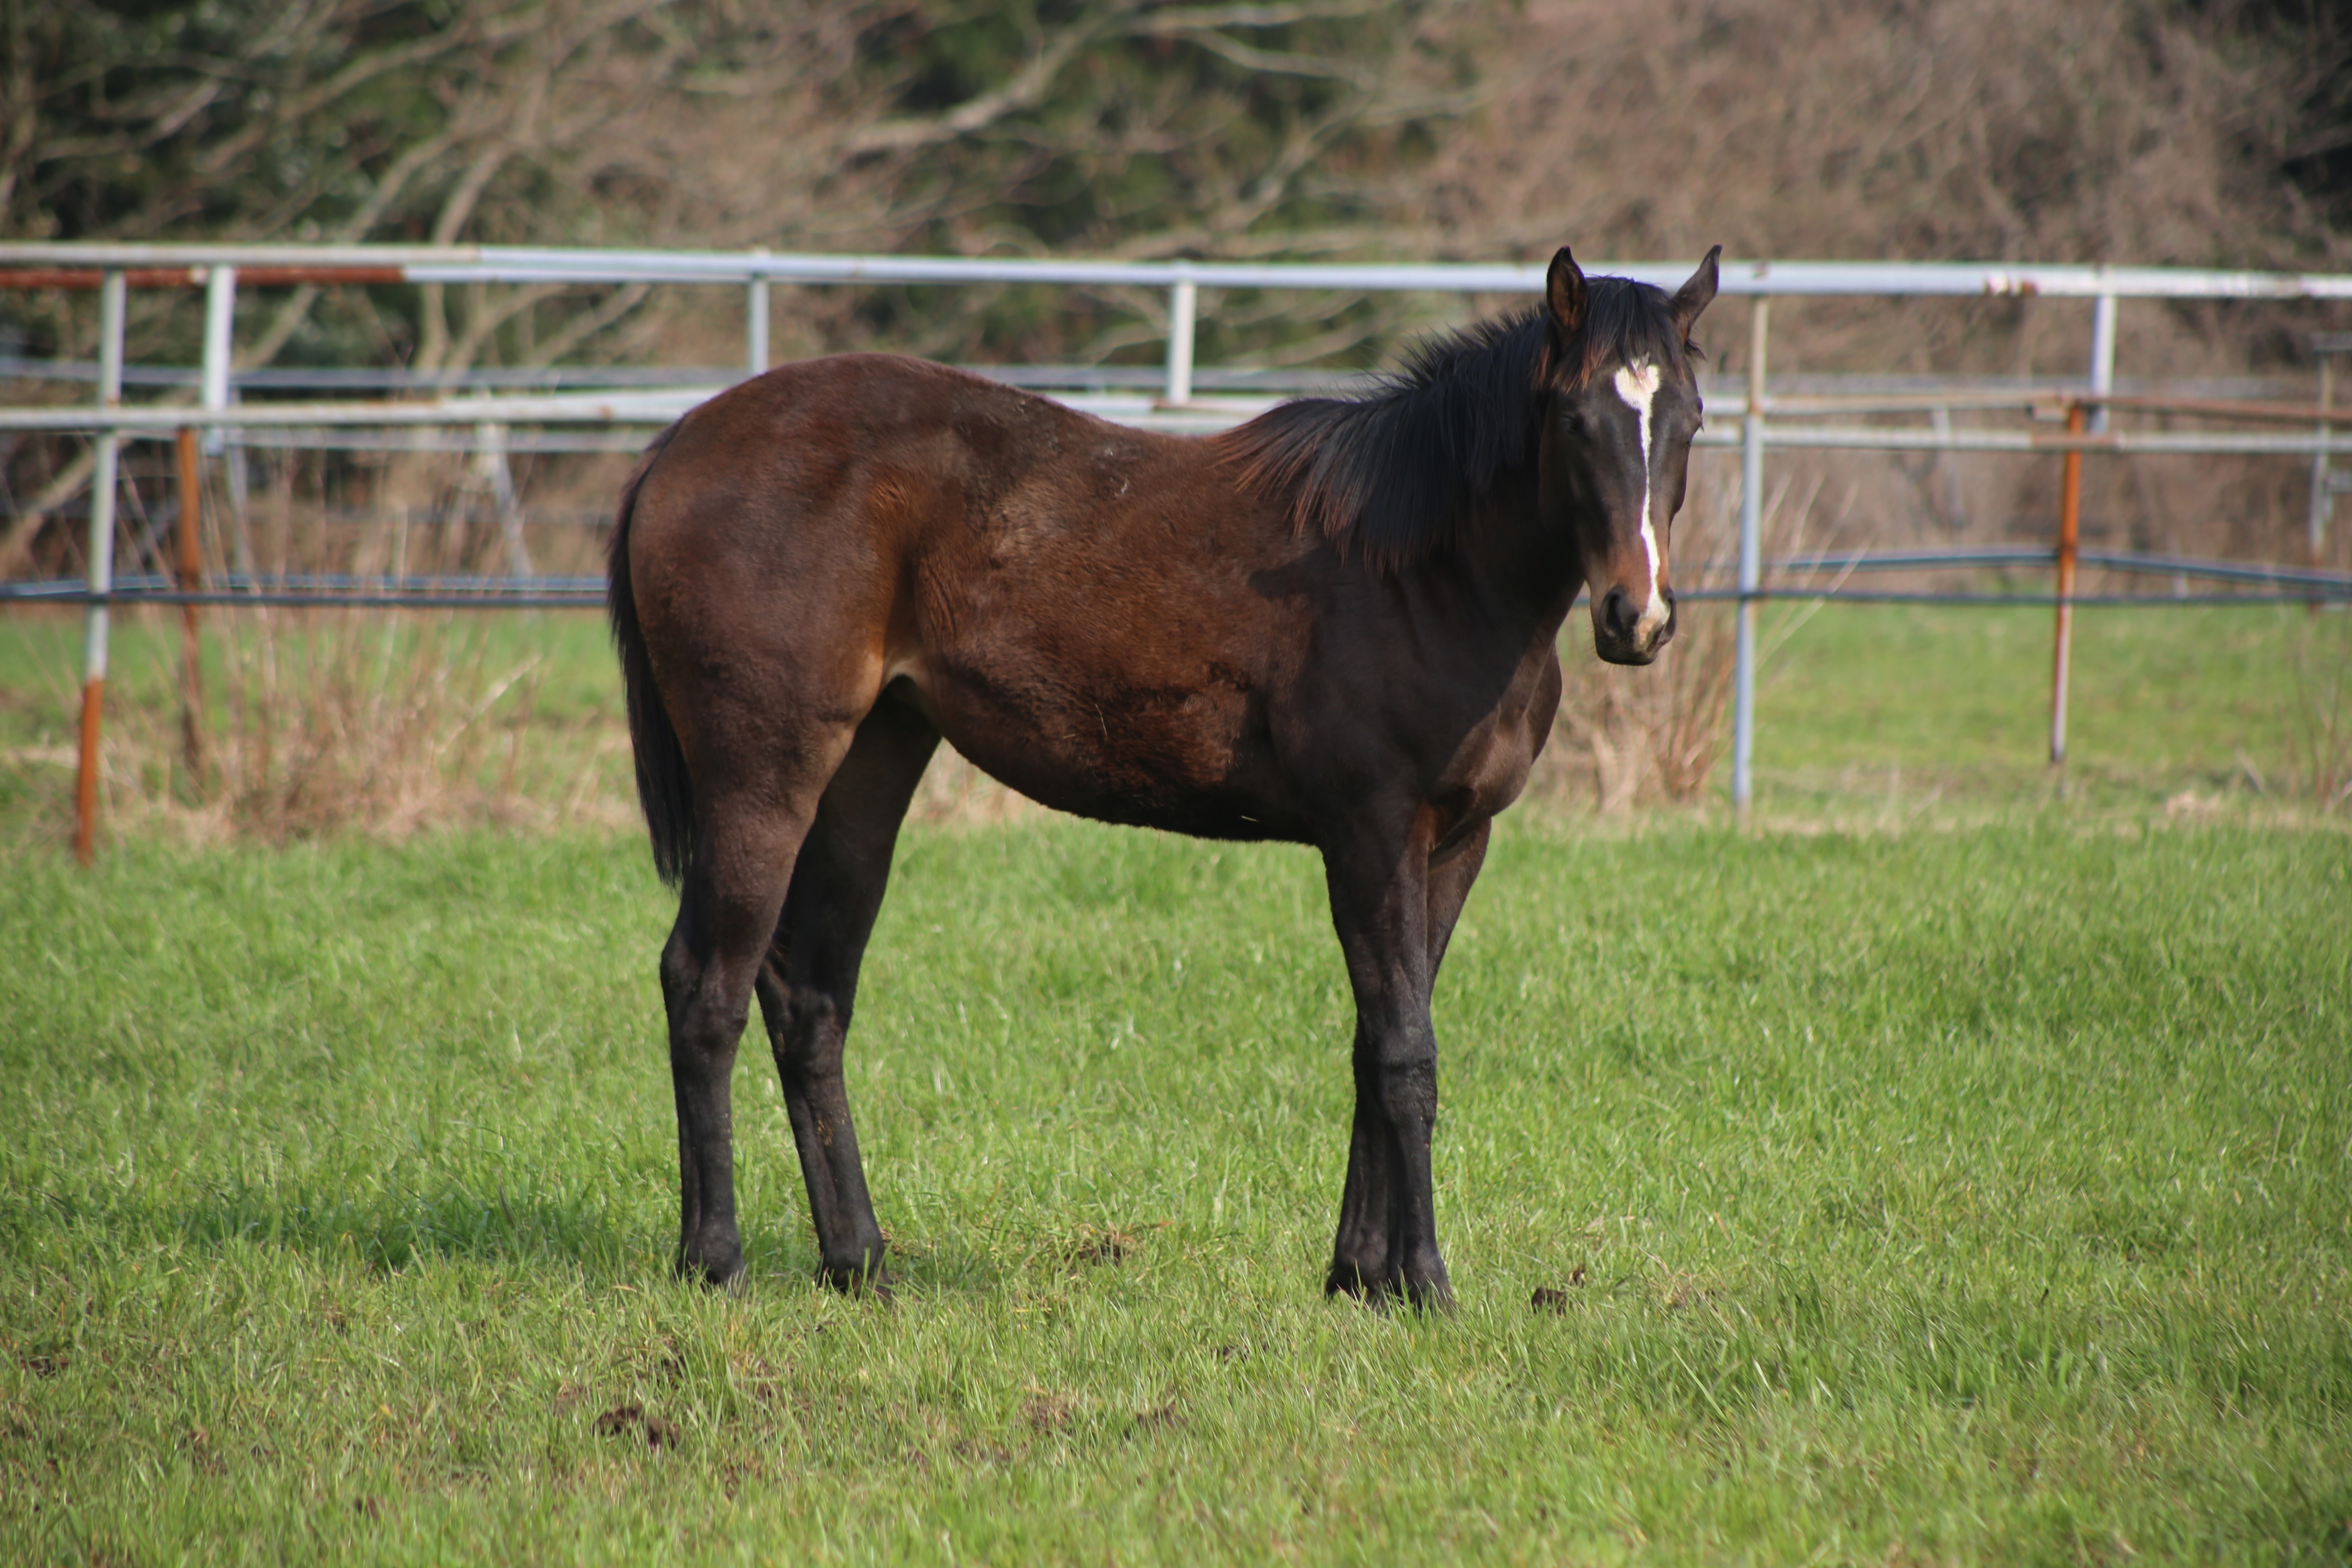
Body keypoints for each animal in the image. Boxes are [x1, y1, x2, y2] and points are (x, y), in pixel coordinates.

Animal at [602, 242, 1712, 1297]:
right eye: (1572, 417)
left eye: (1690, 419)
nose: (1637, 618)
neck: (1419, 567)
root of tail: (678, 446)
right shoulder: (1371, 832)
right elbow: (1403, 1052)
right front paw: (1426, 1283)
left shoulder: (1453, 842)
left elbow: (1376, 1041)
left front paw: (1361, 1276)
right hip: (762, 776)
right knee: (705, 984)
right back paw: (714, 1260)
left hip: (867, 770)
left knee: (810, 998)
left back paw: (860, 1262)